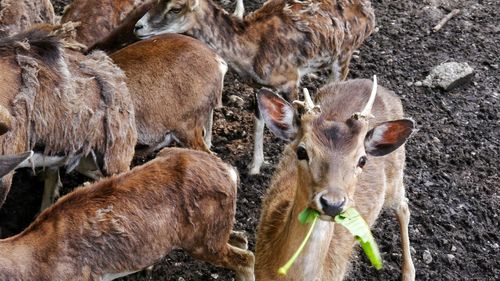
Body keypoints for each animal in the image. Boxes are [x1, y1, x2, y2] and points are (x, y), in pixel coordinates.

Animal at [133, 0, 376, 174]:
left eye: (176, 8)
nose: (138, 27)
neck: (252, 52)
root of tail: (370, 13)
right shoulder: (257, 85)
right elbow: (259, 120)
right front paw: (255, 167)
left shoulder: (291, 80)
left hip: (343, 55)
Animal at [254, 77, 414, 280]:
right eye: (301, 151)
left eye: (362, 160)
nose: (332, 203)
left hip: (396, 172)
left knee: (403, 206)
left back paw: (408, 273)